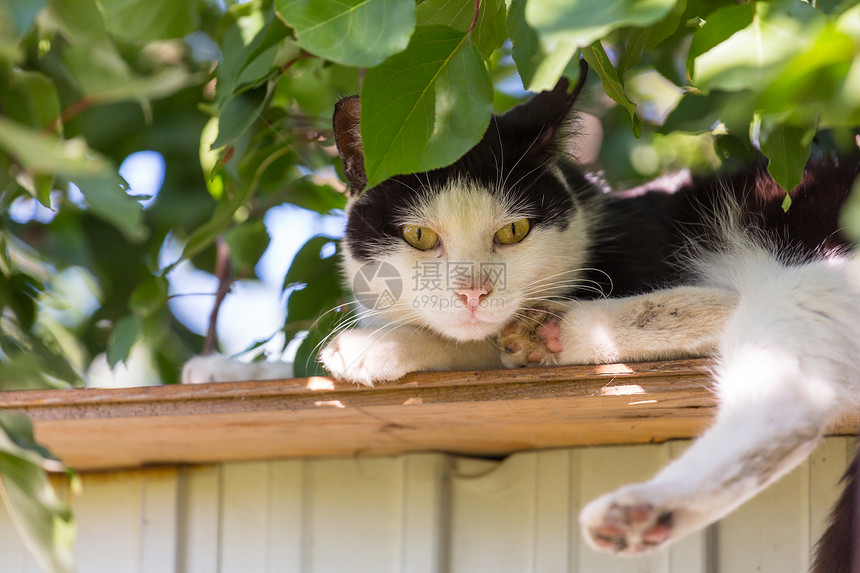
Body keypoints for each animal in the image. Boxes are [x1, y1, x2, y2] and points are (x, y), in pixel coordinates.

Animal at [185, 67, 860, 568]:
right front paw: (223, 371)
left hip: (801, 269)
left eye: (513, 231)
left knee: (773, 381)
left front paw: (374, 346)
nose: (474, 292)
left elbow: (472, 342)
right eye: (419, 236)